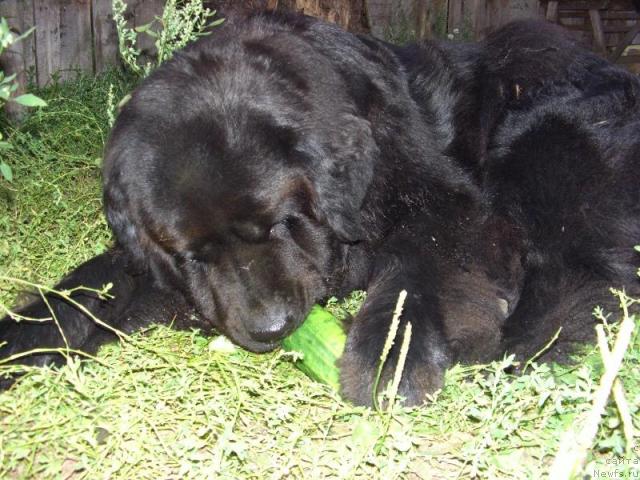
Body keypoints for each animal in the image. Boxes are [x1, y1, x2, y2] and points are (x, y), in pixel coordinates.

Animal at [1, 12, 640, 404]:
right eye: (191, 256)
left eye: (280, 223)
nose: (272, 328)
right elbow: (87, 287)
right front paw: (20, 338)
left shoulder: (451, 204)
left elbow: (419, 268)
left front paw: (390, 353)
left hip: (534, 126)